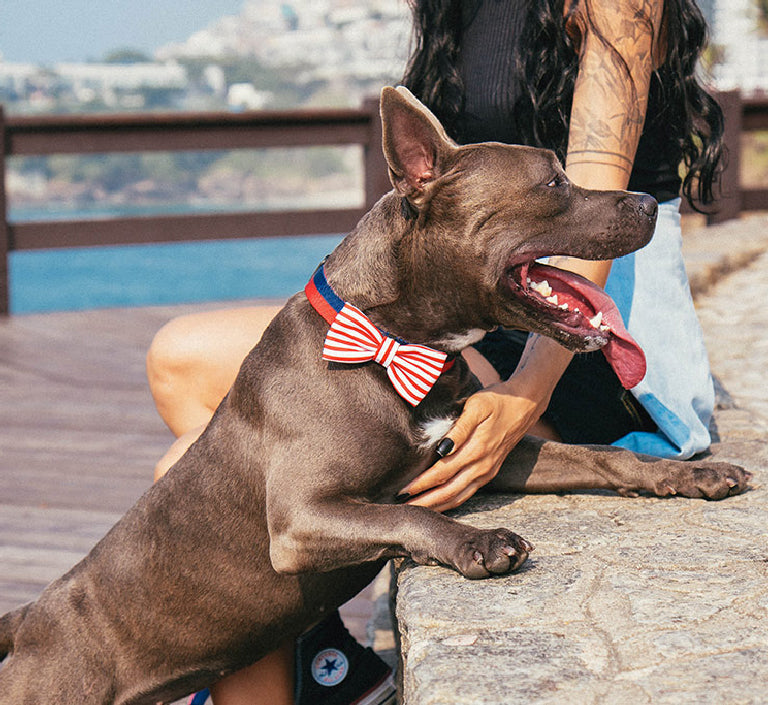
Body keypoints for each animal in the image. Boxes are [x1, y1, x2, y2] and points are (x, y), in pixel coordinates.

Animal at [0, 89, 748, 704]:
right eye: (554, 182)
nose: (649, 201)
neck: (391, 343)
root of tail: (32, 619)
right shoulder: (301, 519)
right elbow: (405, 513)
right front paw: (478, 541)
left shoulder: (488, 449)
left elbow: (604, 454)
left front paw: (692, 473)